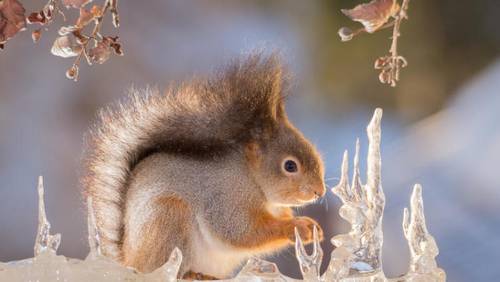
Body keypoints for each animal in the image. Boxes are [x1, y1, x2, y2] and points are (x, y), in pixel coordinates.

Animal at [81, 53, 326, 280]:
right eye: (290, 166)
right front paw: (297, 226)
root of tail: (129, 261)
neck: (252, 179)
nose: (319, 191)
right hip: (168, 217)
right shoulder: (226, 199)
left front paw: (311, 226)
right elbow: (242, 232)